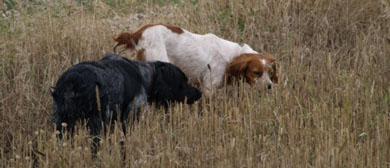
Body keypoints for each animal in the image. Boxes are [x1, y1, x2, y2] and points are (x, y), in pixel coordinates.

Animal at [51, 53, 201, 147]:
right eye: (183, 82)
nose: (199, 93)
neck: (145, 75)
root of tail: (73, 79)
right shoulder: (130, 114)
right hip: (97, 120)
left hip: (62, 120)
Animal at [112, 24, 278, 94]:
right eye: (256, 72)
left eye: (270, 73)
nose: (270, 86)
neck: (232, 56)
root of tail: (137, 34)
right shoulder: (209, 88)